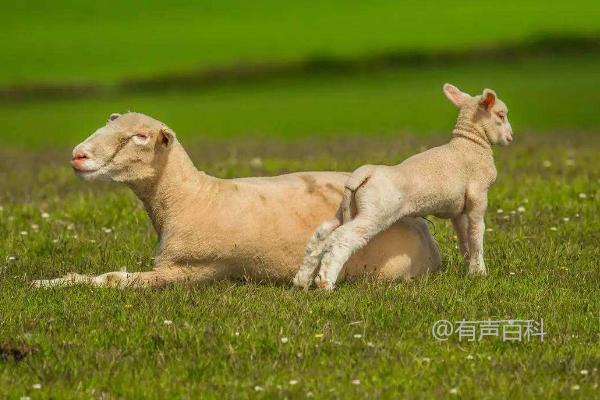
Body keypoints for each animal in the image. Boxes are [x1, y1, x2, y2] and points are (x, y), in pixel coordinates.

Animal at [32, 112, 440, 288]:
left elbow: (114, 280)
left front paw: (53, 284)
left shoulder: (189, 270)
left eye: (140, 137)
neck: (191, 197)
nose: (79, 155)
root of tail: (426, 234)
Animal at [294, 84, 510, 290]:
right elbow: (476, 233)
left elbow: (464, 238)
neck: (471, 144)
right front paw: (480, 273)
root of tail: (364, 173)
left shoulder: (457, 210)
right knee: (342, 238)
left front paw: (469, 269)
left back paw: (302, 281)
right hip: (375, 213)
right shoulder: (478, 196)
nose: (510, 137)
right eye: (501, 115)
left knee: (323, 234)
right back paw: (326, 283)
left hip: (349, 208)